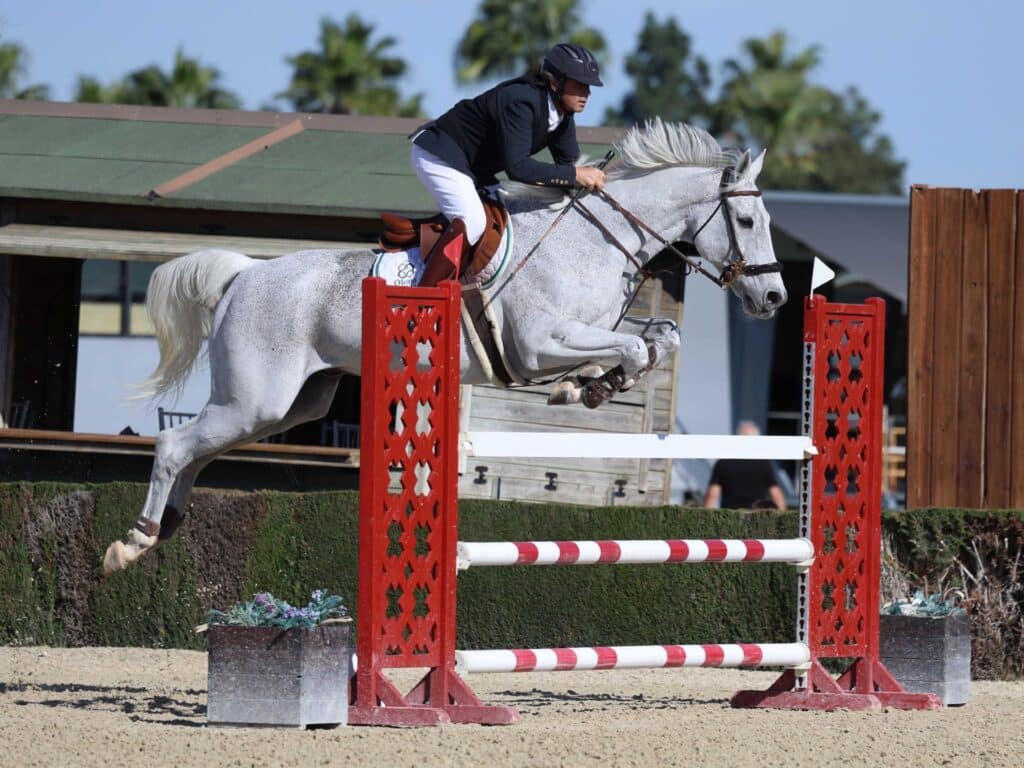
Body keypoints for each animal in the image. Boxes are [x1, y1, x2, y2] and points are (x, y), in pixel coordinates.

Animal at [101, 120, 782, 573]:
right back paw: (131, 542)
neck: (596, 240)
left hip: (290, 405)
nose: (774, 297)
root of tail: (246, 273)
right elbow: (632, 351)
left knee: (199, 450)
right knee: (175, 444)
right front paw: (587, 388)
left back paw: (164, 529)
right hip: (256, 400)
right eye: (747, 221)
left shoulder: (590, 332)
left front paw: (589, 384)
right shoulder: (538, 344)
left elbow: (656, 340)